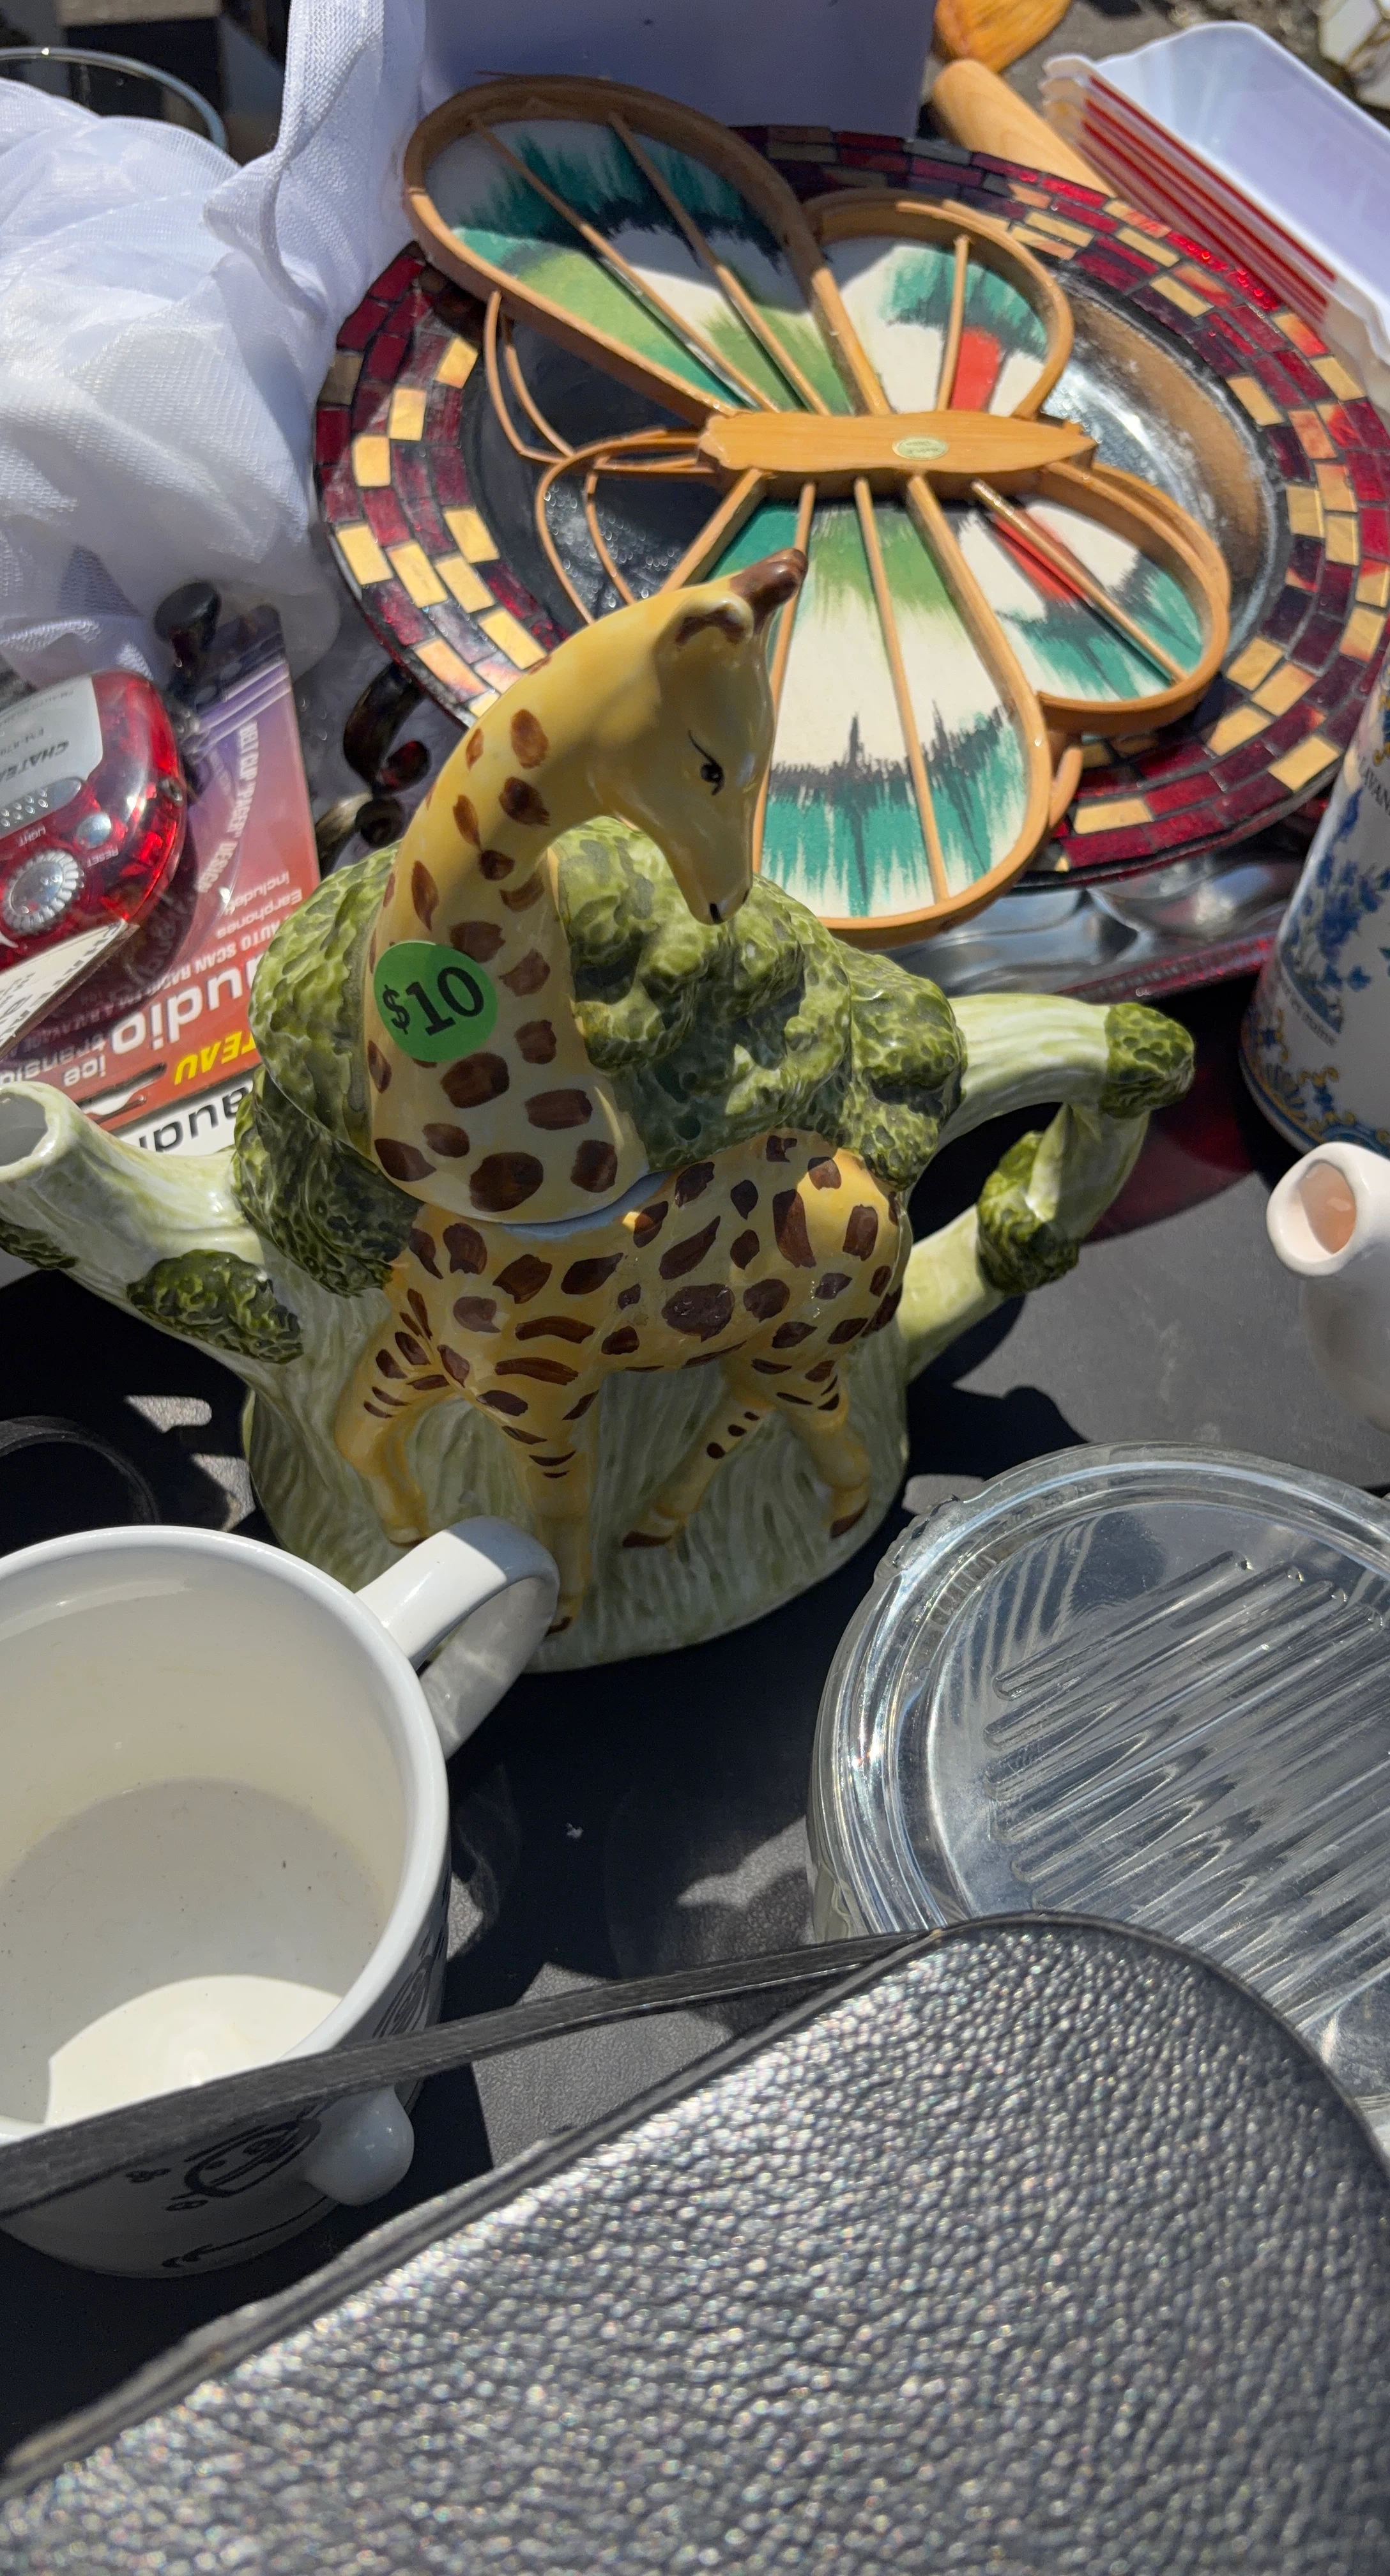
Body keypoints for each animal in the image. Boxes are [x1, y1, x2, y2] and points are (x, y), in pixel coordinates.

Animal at [335, 548, 911, 1629]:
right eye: (712, 763)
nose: (727, 899)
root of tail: (892, 1212)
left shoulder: (543, 1394)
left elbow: (553, 1517)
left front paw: (558, 1614)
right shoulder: (421, 1346)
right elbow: (357, 1433)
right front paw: (402, 1534)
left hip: (804, 1347)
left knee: (825, 1427)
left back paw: (840, 1525)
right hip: (766, 1347)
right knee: (747, 1411)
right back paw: (660, 1524)